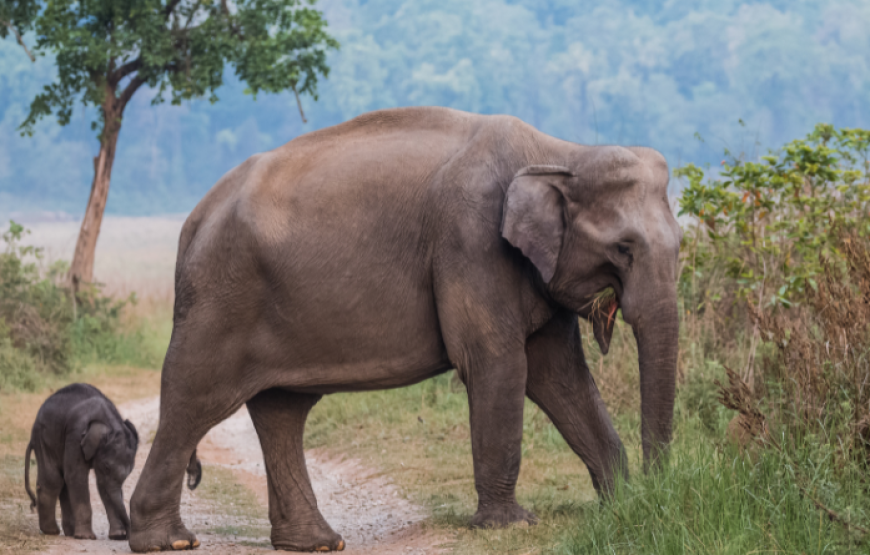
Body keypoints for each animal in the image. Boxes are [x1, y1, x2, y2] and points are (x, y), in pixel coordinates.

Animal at [25, 384, 140, 540]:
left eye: (129, 472)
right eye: (107, 467)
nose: (128, 535)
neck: (107, 421)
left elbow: (102, 485)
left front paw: (117, 536)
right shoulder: (75, 433)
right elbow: (76, 475)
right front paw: (87, 537)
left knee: (63, 481)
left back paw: (70, 532)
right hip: (44, 437)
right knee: (53, 479)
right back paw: (52, 531)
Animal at [129, 107, 684, 552]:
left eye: (681, 243)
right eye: (623, 248)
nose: (657, 493)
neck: (561, 152)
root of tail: (192, 222)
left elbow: (559, 376)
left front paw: (620, 500)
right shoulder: (471, 243)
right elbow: (498, 363)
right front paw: (511, 525)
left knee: (281, 411)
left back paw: (316, 542)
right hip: (220, 298)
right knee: (194, 397)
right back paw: (168, 541)